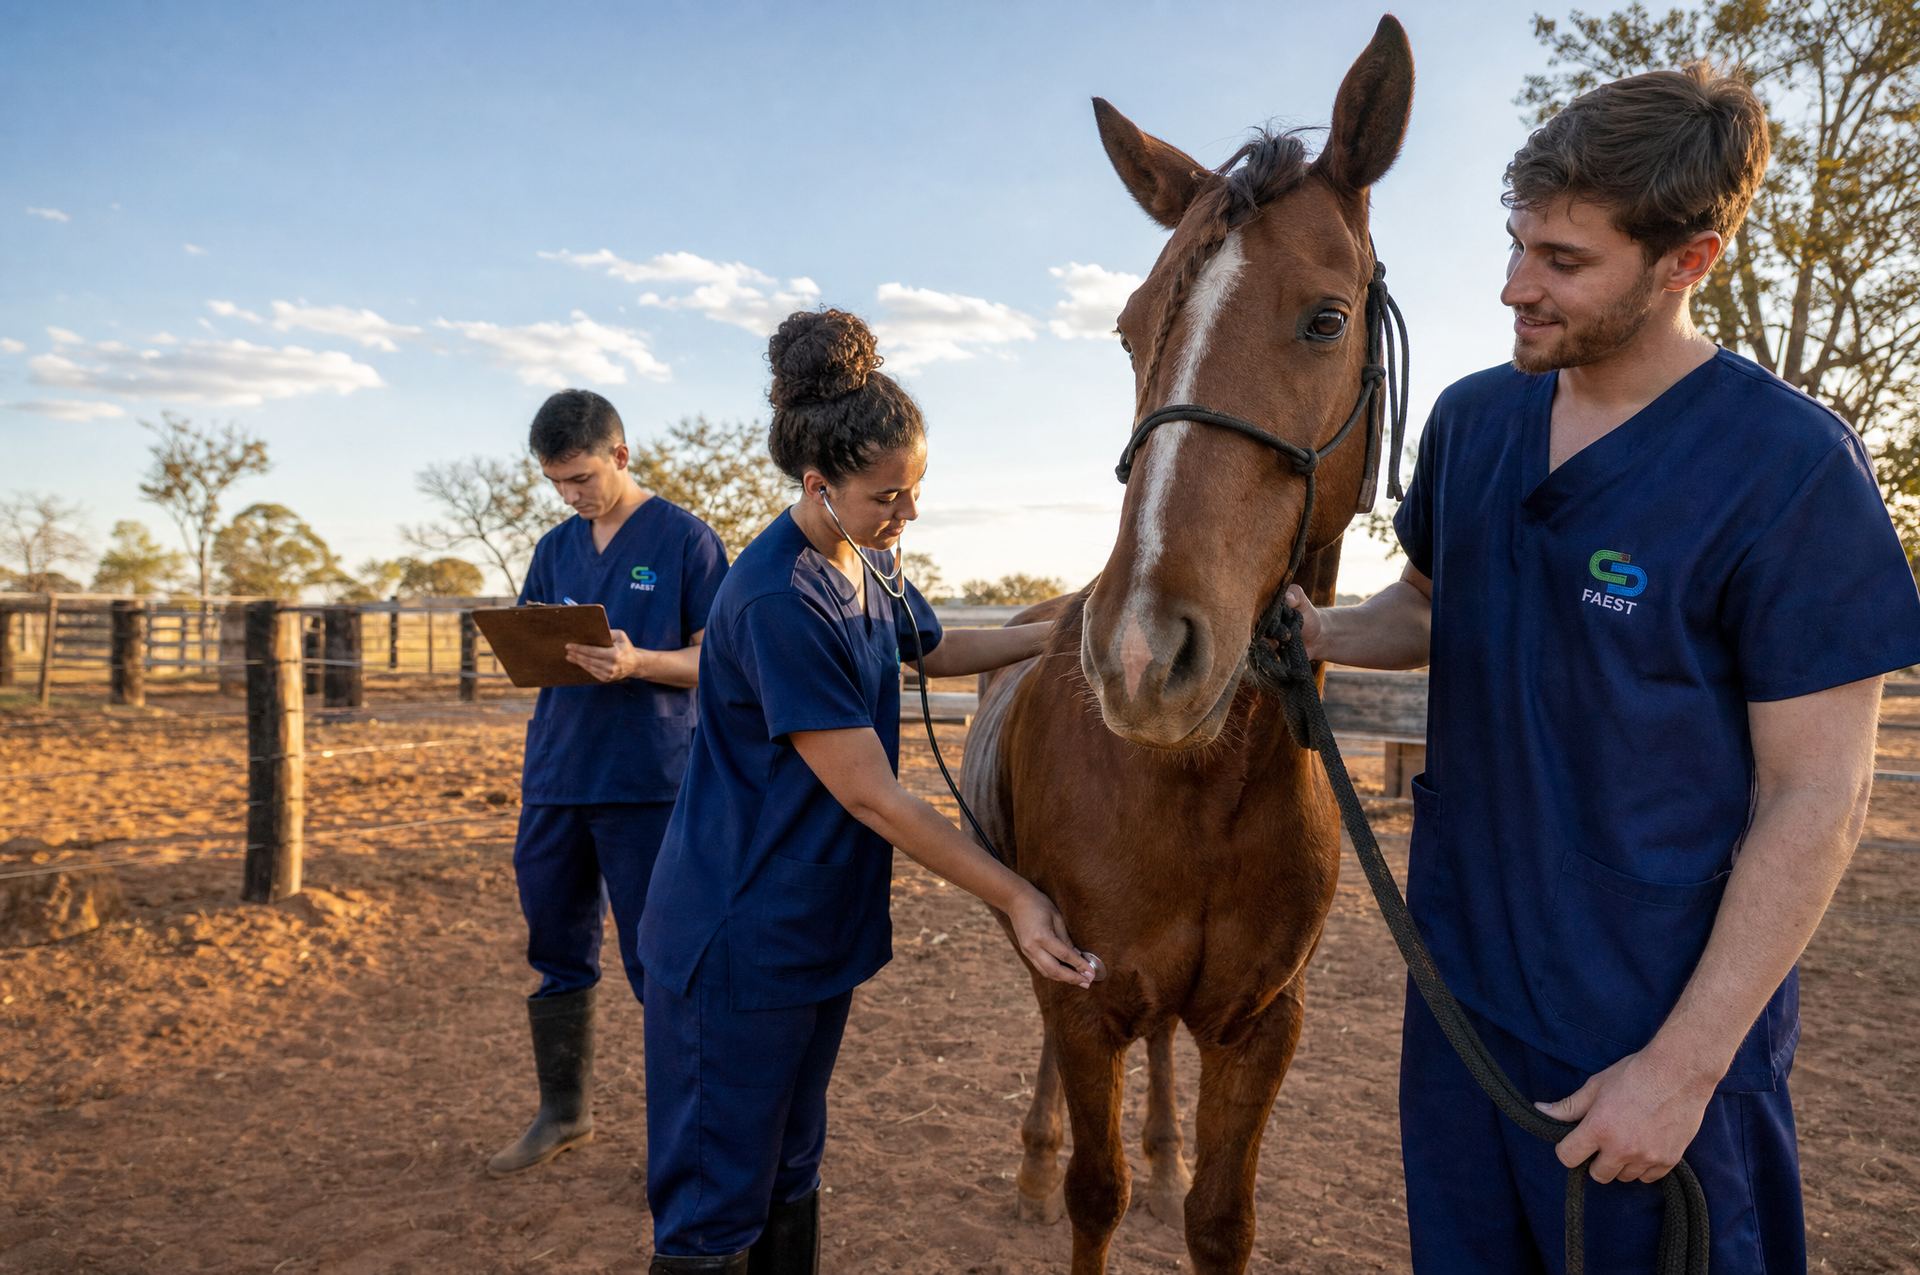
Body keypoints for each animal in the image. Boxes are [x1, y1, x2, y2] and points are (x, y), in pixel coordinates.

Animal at [959, 18, 1415, 1274]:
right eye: (1128, 330)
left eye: (1325, 316)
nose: (1137, 655)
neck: (1204, 782)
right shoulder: (1083, 995)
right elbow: (1094, 1195)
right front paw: (1067, 1174)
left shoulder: (1261, 1024)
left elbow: (1221, 1219)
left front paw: (1178, 1173)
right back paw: (1033, 1156)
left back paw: (1163, 1145)